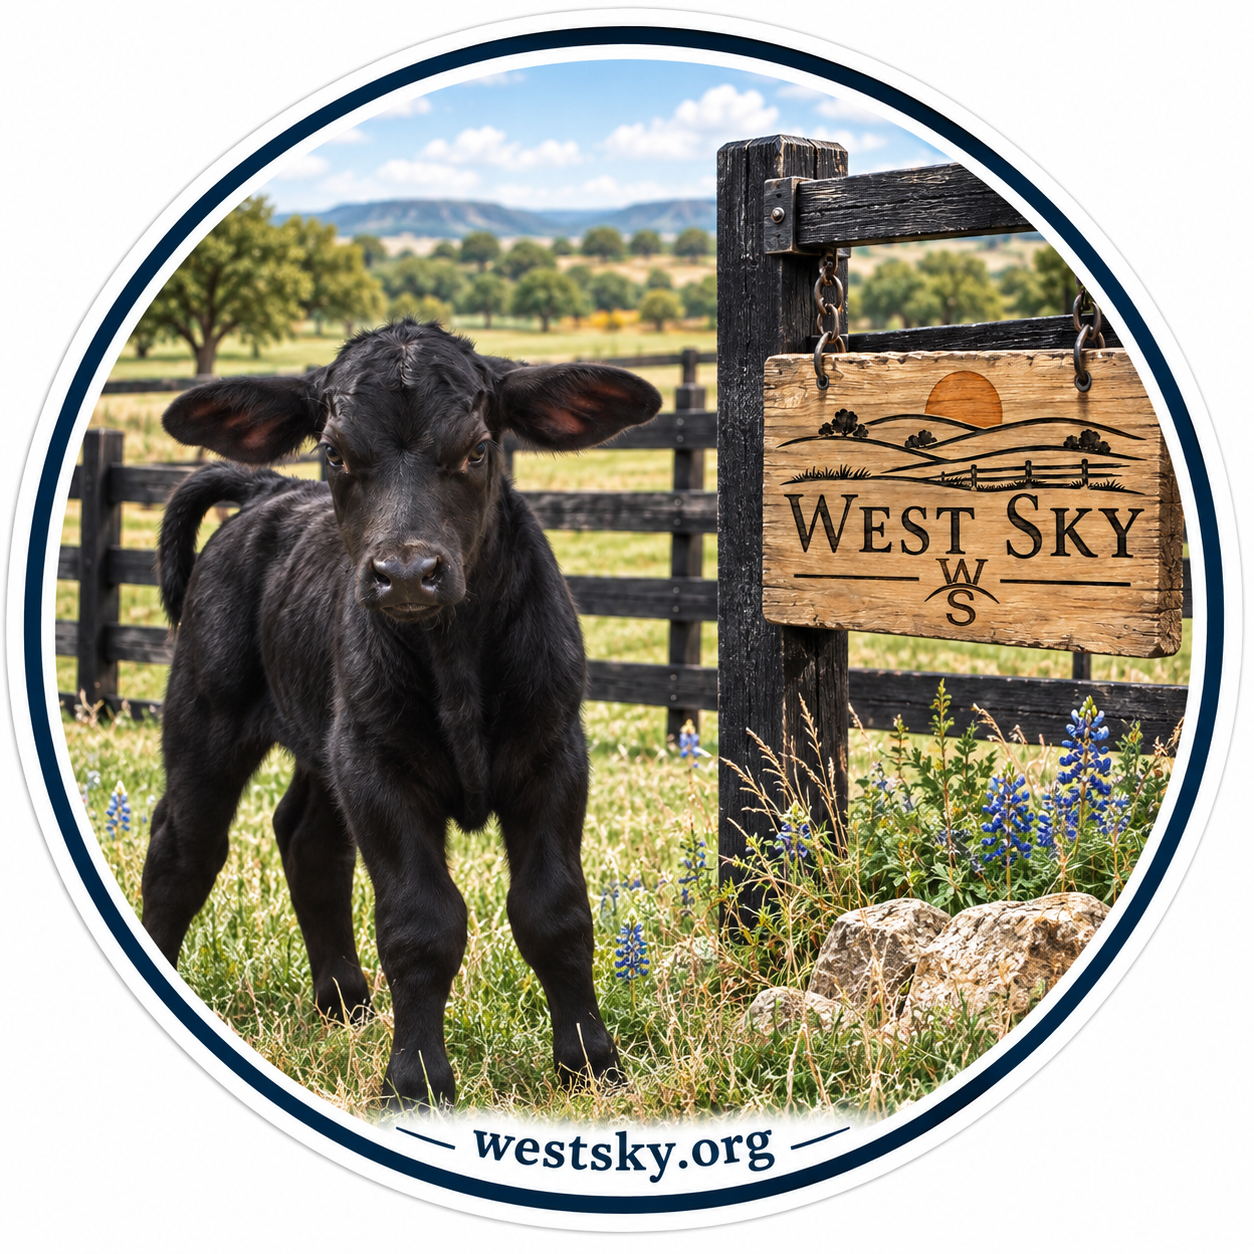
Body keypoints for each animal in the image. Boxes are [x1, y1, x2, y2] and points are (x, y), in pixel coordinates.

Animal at [140, 320, 662, 1108]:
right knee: (183, 848)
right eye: (335, 451)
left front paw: (591, 1066)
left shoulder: (554, 755)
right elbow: (422, 923)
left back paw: (344, 1001)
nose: (409, 574)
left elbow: (556, 913)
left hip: (325, 740)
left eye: (478, 448)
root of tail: (268, 489)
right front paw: (417, 1082)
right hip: (207, 717)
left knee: (307, 840)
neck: (455, 662)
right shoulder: (377, 769)